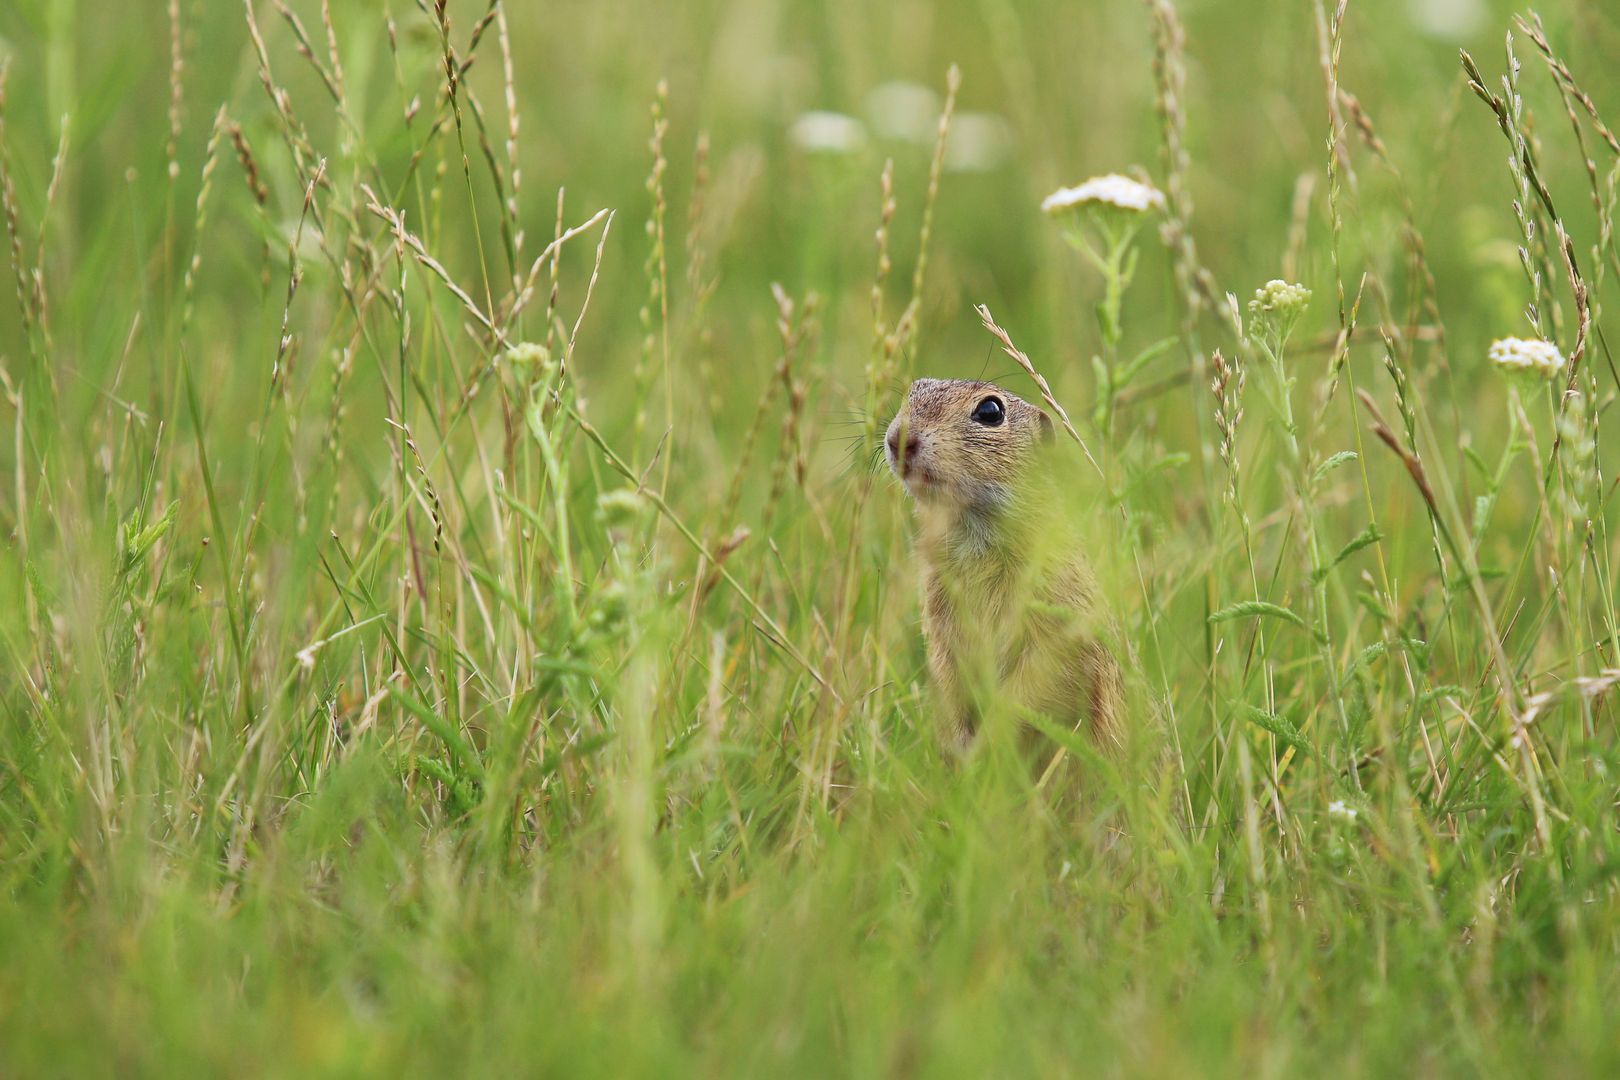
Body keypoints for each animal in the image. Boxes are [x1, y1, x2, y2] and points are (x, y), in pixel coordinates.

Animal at [887, 380, 1127, 751]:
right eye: (912, 390)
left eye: (990, 411)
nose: (898, 438)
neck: (974, 536)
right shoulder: (938, 618)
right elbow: (945, 673)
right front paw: (955, 745)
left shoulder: (1059, 618)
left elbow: (1033, 688)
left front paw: (985, 748)